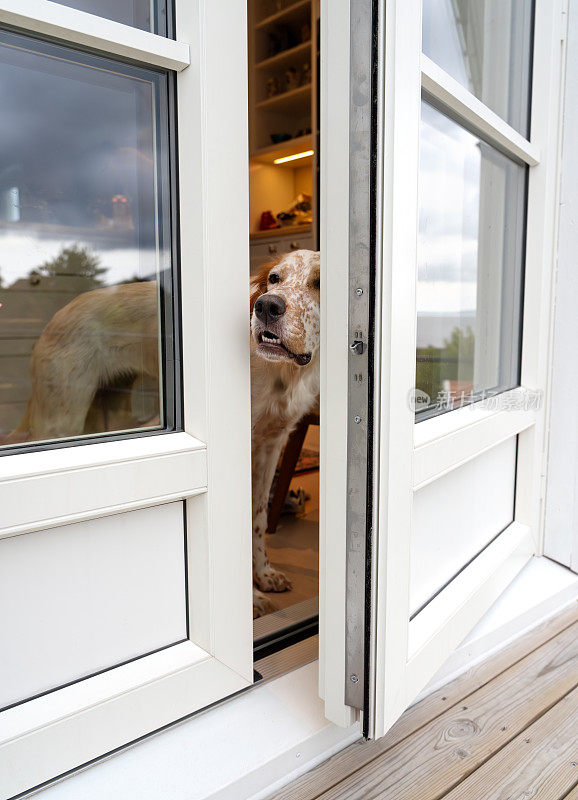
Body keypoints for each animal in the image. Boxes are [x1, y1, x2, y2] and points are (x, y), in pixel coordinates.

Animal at [4, 250, 320, 620]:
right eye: (274, 279)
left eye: (319, 282)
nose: (267, 306)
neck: (280, 371)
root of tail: (57, 315)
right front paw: (251, 601)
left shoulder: (272, 443)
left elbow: (257, 516)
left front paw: (264, 575)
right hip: (60, 420)